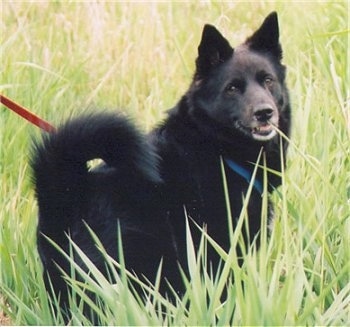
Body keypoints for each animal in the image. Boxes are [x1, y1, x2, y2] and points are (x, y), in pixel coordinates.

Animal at [32, 12, 290, 312]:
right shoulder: (215, 252)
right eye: (233, 88)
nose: (265, 112)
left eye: (268, 80)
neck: (213, 147)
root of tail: (66, 191)